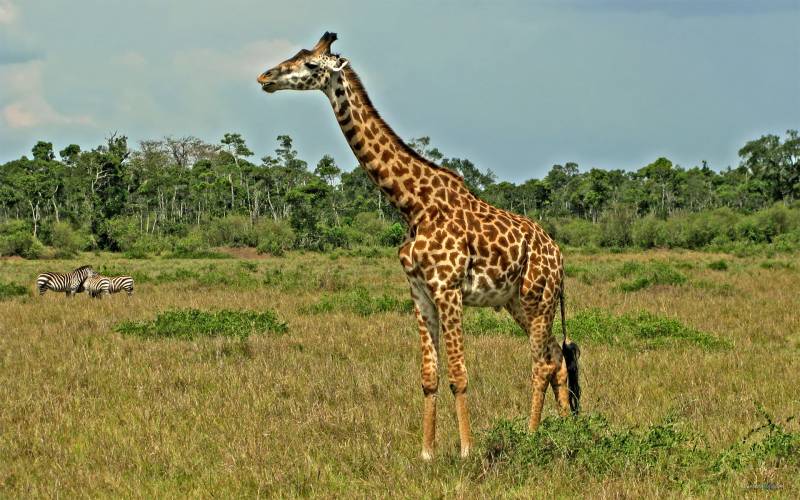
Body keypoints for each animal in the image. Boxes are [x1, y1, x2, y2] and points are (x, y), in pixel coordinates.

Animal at [260, 32, 580, 460]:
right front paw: (426, 452)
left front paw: (466, 450)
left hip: (537, 297)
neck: (413, 205)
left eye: (311, 65)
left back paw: (531, 436)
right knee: (557, 357)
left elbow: (459, 373)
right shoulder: (419, 291)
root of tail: (559, 255)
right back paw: (563, 431)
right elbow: (429, 375)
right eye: (296, 54)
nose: (265, 76)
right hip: (517, 301)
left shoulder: (448, 288)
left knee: (541, 363)